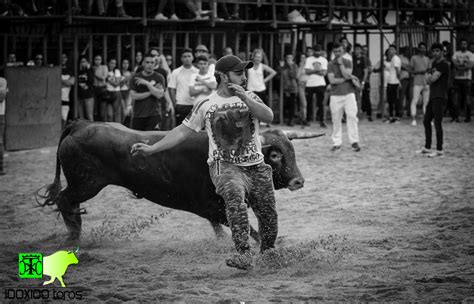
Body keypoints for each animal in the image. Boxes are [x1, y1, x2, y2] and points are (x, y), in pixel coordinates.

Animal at [37, 120, 324, 241]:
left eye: (291, 149)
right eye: (274, 154)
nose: (298, 181)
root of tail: (80, 125)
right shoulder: (215, 206)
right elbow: (244, 228)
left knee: (68, 202)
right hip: (86, 184)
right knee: (64, 199)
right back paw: (74, 238)